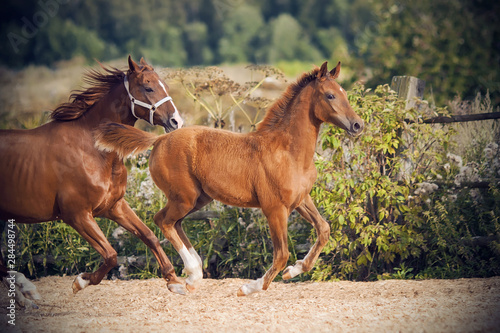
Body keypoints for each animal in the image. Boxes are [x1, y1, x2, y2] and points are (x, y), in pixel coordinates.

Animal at [0, 55, 184, 306]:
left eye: (164, 85)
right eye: (148, 87)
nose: (177, 122)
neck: (93, 150)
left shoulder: (114, 206)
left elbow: (149, 237)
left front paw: (174, 281)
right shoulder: (76, 215)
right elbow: (111, 255)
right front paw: (81, 281)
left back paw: (25, 295)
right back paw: (26, 292)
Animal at [96, 61, 364, 294]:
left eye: (343, 92)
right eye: (330, 96)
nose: (358, 125)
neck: (288, 152)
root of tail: (160, 138)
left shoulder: (300, 200)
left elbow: (323, 229)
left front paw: (294, 271)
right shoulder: (275, 208)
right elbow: (281, 254)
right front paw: (250, 288)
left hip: (198, 199)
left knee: (174, 223)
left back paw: (193, 275)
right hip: (184, 197)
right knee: (163, 220)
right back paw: (189, 275)